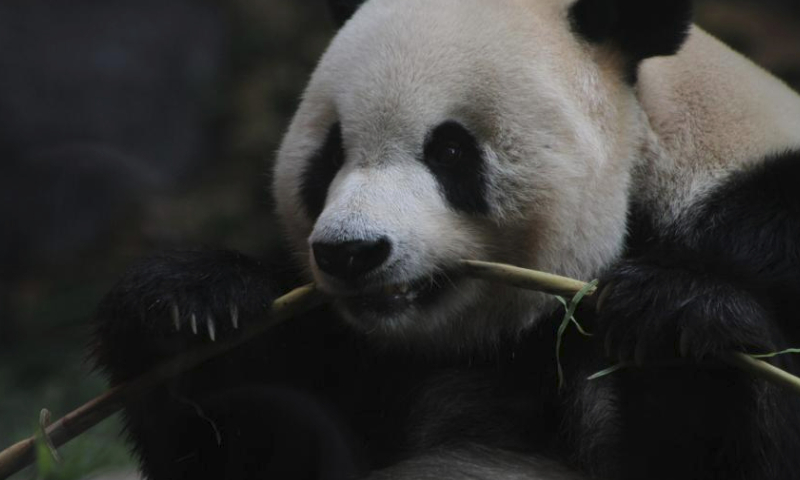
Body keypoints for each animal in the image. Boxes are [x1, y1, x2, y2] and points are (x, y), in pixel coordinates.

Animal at [90, 0, 800, 480]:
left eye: (451, 150)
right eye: (331, 154)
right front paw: (189, 306)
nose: (350, 253)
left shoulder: (757, 232)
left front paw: (670, 323)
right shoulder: (364, 356)